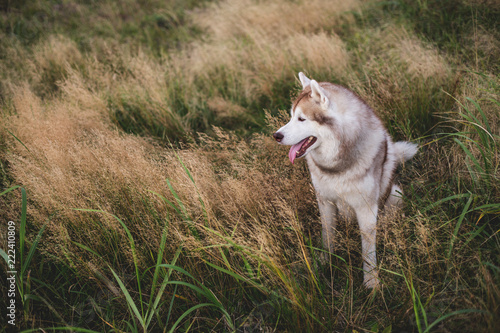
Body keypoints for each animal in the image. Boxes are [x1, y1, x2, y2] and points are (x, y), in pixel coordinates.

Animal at [272, 72, 416, 288]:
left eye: (301, 119)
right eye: (291, 117)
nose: (276, 135)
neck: (337, 166)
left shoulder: (366, 208)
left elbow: (368, 250)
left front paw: (371, 282)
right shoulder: (325, 201)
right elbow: (328, 235)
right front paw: (323, 262)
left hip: (396, 194)